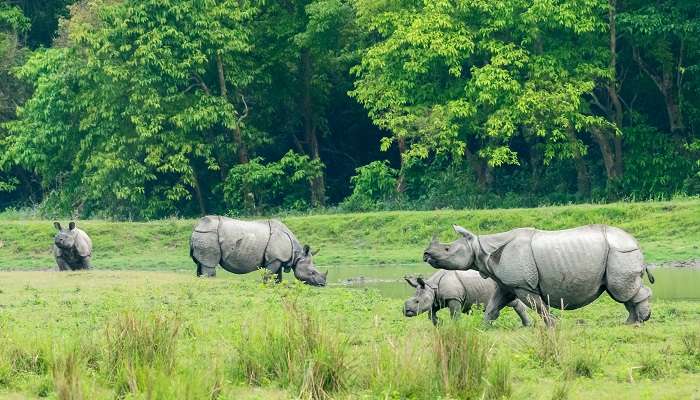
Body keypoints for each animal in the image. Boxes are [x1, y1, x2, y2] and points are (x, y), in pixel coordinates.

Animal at [187, 217, 326, 286]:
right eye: (312, 272)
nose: (323, 284)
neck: (297, 254)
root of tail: (196, 227)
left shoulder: (278, 258)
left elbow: (277, 275)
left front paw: (277, 285)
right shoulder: (274, 259)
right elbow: (270, 274)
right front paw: (267, 285)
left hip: (204, 235)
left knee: (201, 263)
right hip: (208, 235)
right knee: (209, 264)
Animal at [404, 270, 532, 326]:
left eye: (417, 301)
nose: (406, 311)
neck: (432, 286)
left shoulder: (454, 298)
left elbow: (455, 314)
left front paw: (455, 326)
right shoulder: (438, 299)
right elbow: (431, 314)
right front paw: (440, 323)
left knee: (513, 302)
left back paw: (526, 326)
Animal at [422, 225, 656, 324]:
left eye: (447, 249)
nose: (425, 254)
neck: (481, 248)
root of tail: (635, 242)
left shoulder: (523, 284)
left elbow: (539, 307)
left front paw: (553, 325)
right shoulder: (508, 284)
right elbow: (492, 307)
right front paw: (484, 328)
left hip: (620, 252)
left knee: (621, 290)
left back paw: (639, 320)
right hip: (619, 252)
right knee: (622, 292)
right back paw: (630, 322)